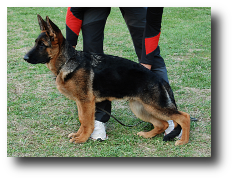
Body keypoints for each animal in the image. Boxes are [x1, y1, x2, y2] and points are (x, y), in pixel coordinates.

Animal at [23, 14, 190, 146]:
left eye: (42, 45)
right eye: (35, 43)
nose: (24, 58)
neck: (68, 61)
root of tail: (160, 80)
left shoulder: (86, 102)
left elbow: (86, 122)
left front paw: (82, 138)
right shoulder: (81, 102)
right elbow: (82, 120)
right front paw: (78, 135)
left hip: (155, 106)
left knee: (183, 117)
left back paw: (183, 141)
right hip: (140, 107)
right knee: (162, 123)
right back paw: (148, 135)